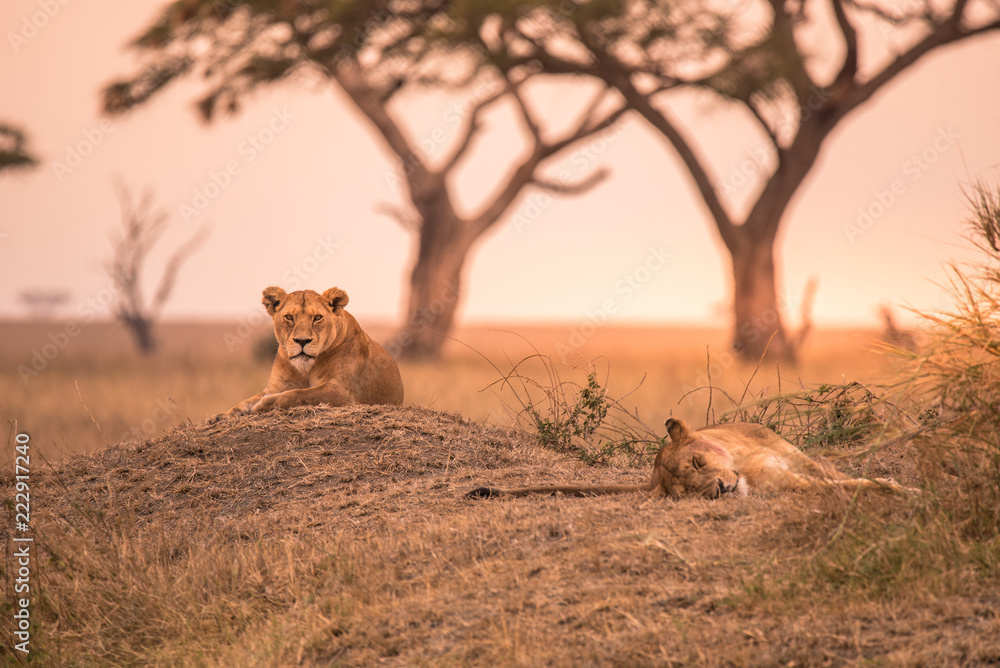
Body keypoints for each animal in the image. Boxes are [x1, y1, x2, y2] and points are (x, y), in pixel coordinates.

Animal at [207, 286, 403, 424]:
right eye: (289, 317)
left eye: (317, 317)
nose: (302, 341)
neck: (305, 369)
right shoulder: (275, 386)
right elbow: (246, 401)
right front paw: (220, 416)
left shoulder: (342, 392)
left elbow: (298, 394)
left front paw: (262, 405)